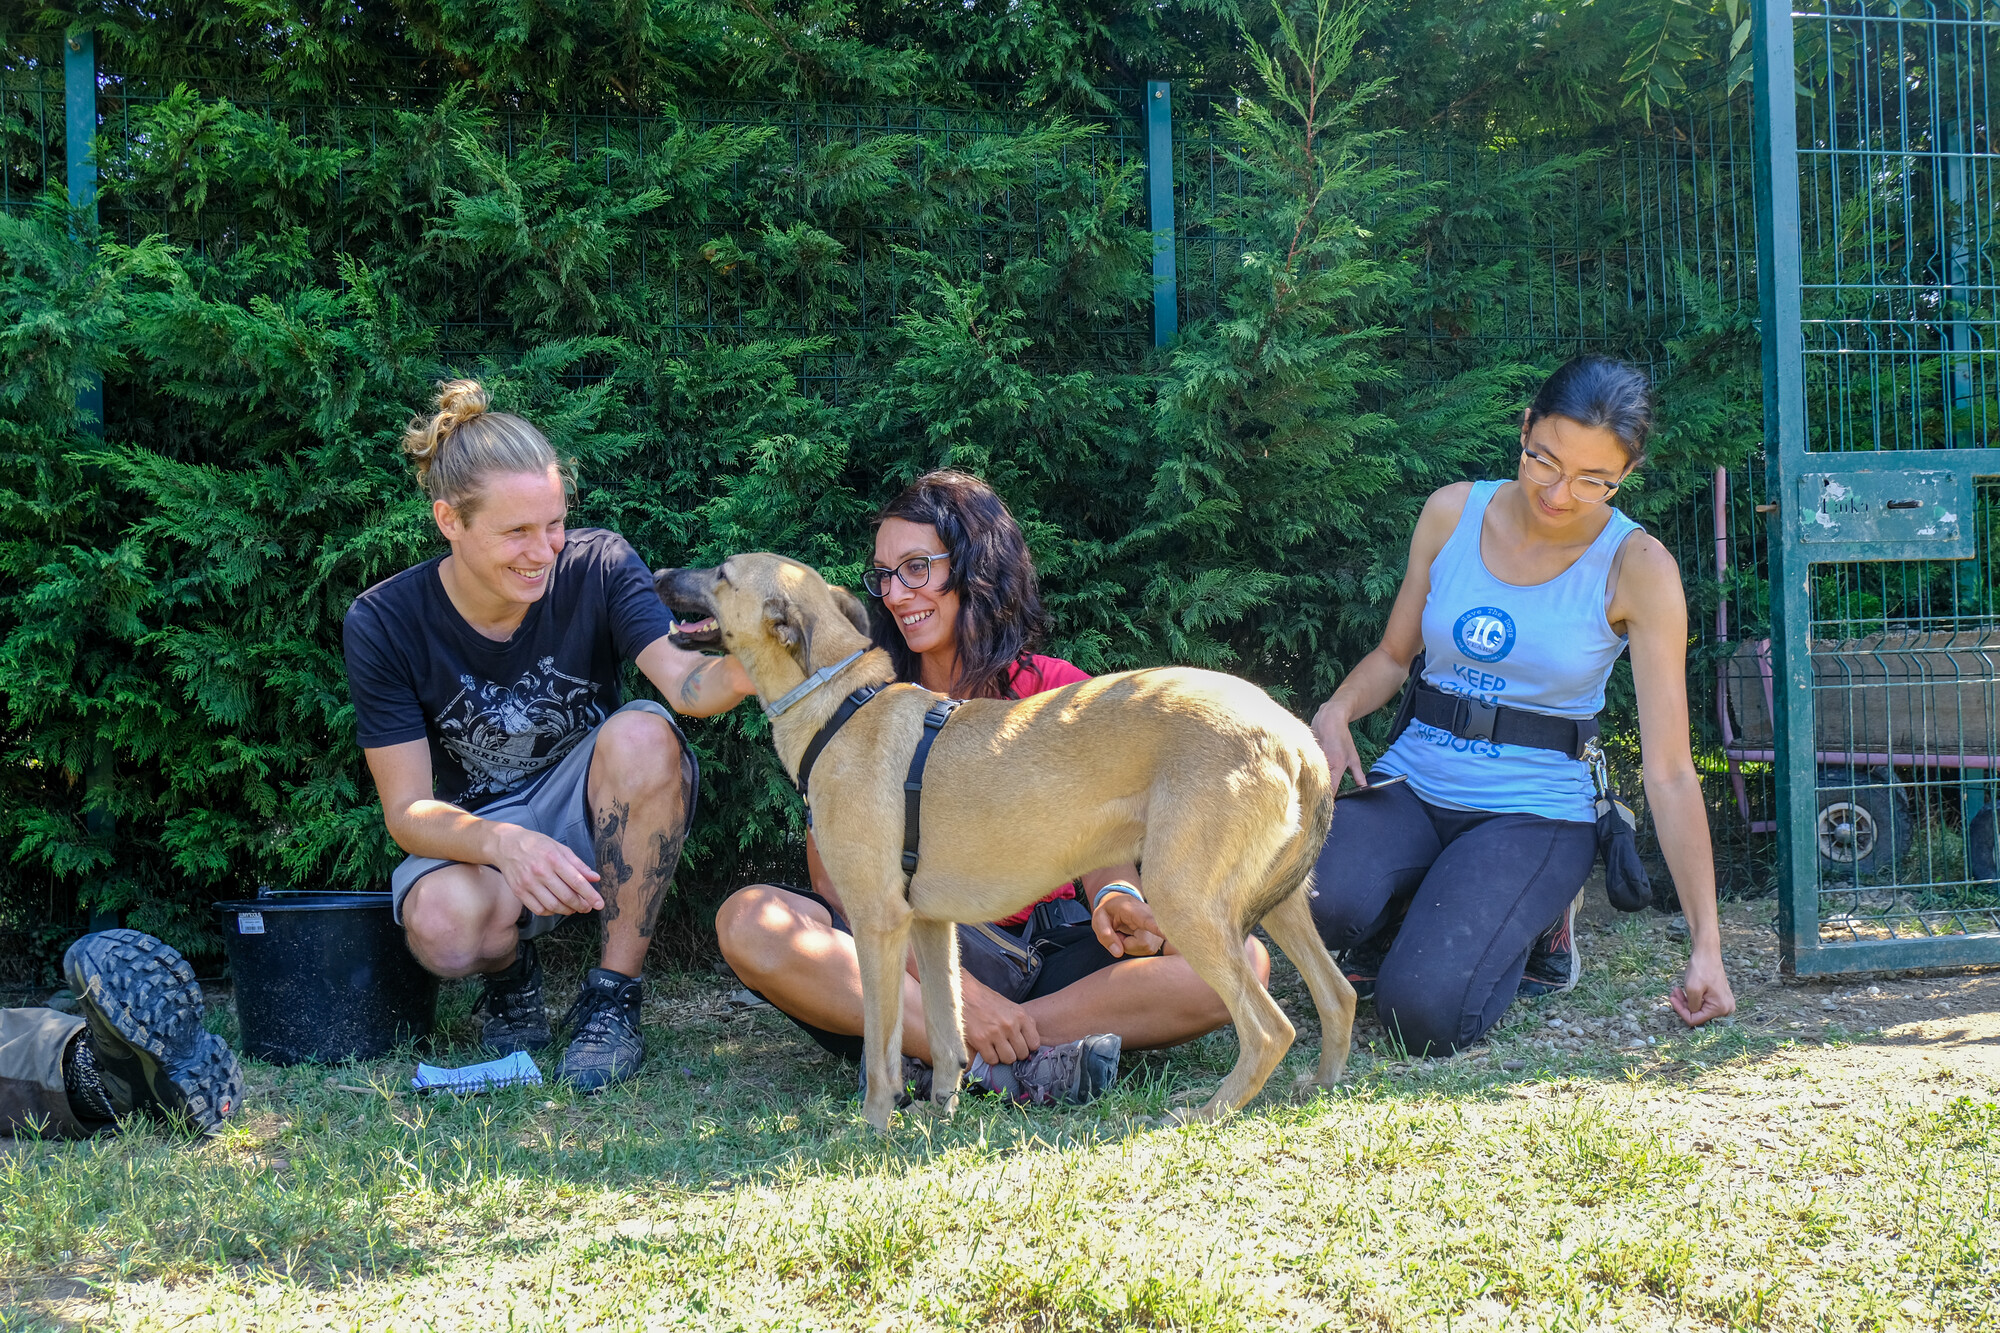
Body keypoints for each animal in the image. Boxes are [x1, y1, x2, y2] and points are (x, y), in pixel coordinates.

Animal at [656, 548, 1360, 1120]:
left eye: (721, 575)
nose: (657, 574)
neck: (838, 704)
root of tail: (1292, 731)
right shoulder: (929, 925)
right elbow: (947, 1028)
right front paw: (941, 1112)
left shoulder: (876, 921)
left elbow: (881, 1049)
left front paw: (876, 1128)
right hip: (1277, 903)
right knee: (1338, 993)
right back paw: (1317, 1085)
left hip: (1185, 901)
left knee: (1268, 1027)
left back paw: (1207, 1110)